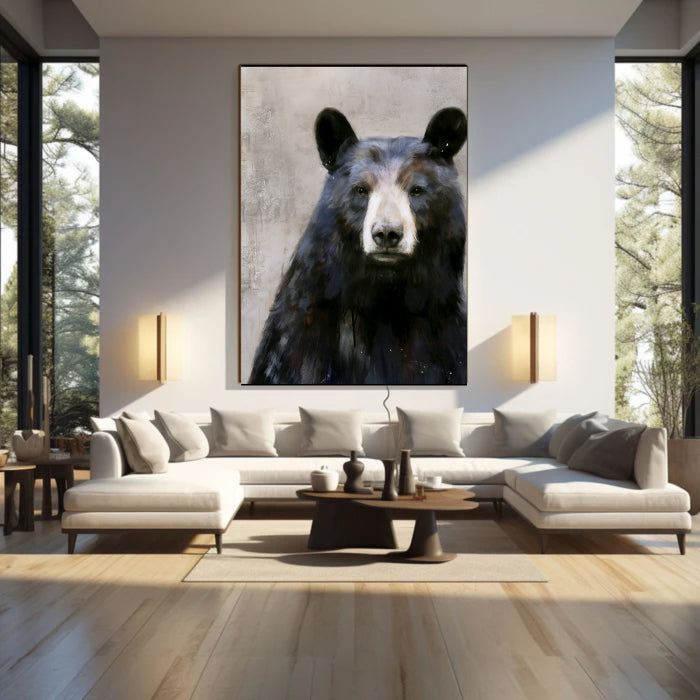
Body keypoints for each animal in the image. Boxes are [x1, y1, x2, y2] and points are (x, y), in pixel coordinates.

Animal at [248, 106, 468, 385]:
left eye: (417, 190)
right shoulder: (301, 336)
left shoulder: (443, 331)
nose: (387, 233)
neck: (384, 293)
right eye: (361, 189)